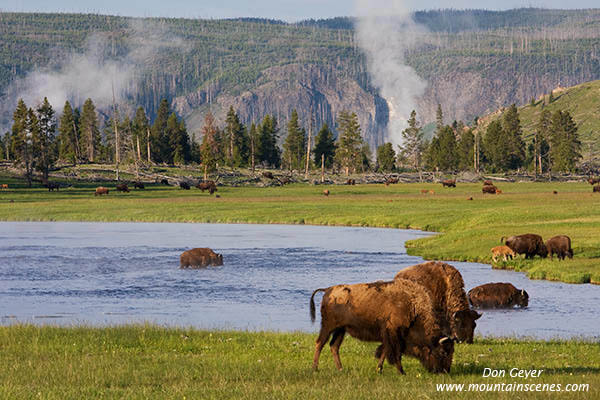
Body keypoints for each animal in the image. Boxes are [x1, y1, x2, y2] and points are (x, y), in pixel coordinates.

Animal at [310, 278, 454, 376]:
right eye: (443, 352)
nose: (445, 371)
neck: (412, 306)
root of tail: (328, 290)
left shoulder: (388, 336)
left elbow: (384, 351)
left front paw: (379, 369)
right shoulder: (394, 334)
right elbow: (395, 353)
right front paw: (401, 371)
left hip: (341, 329)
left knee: (334, 346)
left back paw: (341, 369)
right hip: (328, 327)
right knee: (320, 343)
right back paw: (315, 368)